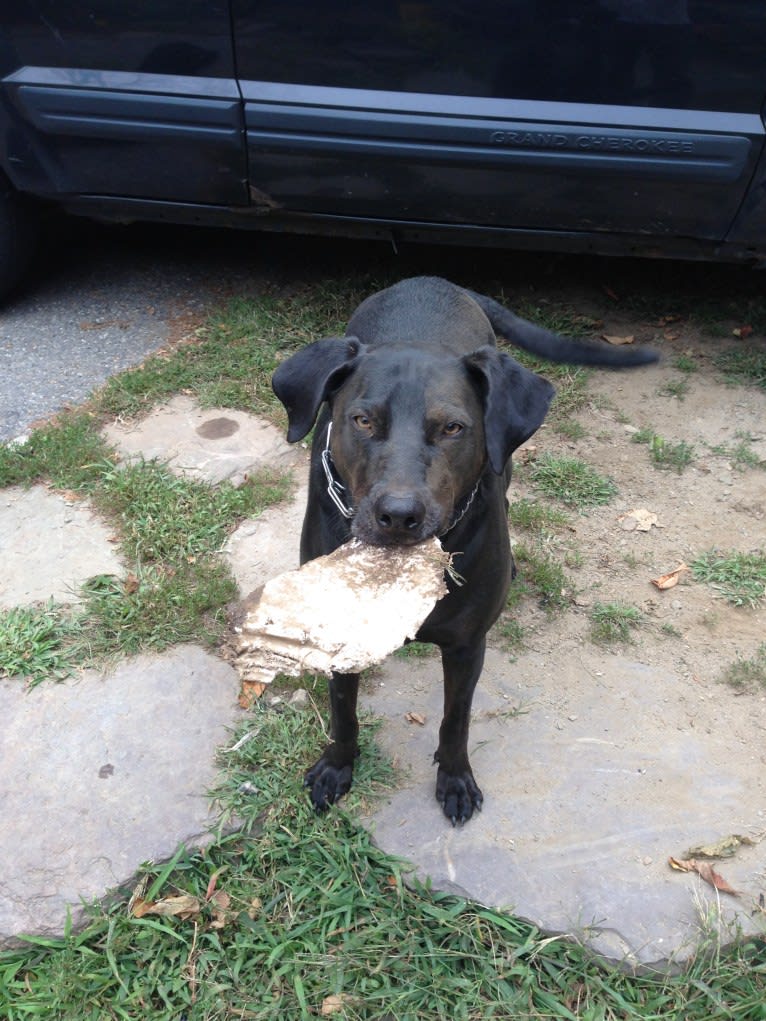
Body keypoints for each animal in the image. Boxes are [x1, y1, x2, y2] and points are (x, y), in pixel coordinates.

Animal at [271, 275, 661, 824]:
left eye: (453, 427)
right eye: (362, 420)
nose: (398, 516)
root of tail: (431, 280)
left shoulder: (466, 645)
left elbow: (456, 719)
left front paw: (454, 779)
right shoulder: (341, 634)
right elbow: (343, 709)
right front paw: (337, 766)